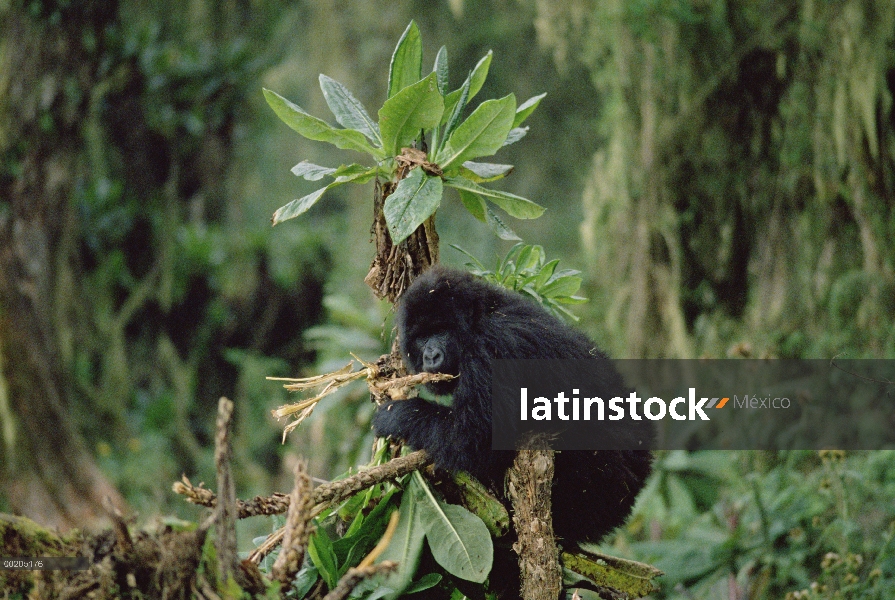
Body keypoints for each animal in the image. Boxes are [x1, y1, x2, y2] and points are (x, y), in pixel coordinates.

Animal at [374, 264, 656, 548]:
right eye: (422, 337)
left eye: (441, 330)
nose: (430, 356)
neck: (481, 318)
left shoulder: (494, 347)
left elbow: (473, 438)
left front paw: (395, 415)